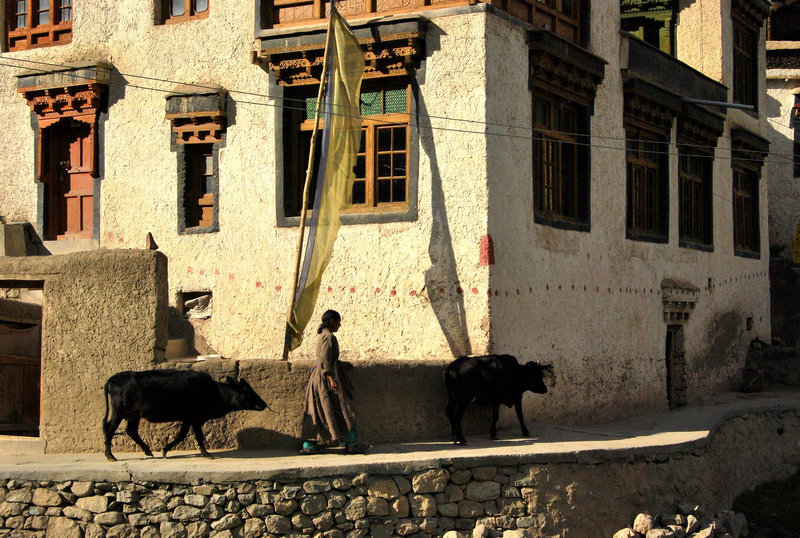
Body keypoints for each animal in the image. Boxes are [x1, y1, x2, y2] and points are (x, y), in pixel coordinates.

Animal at [102, 368, 268, 460]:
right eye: (246, 390)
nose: (264, 404)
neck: (213, 391)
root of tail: (115, 378)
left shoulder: (188, 419)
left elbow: (181, 435)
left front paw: (165, 449)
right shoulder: (195, 417)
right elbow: (198, 436)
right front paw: (206, 454)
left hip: (134, 415)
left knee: (131, 431)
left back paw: (148, 451)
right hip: (118, 412)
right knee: (109, 429)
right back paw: (110, 456)